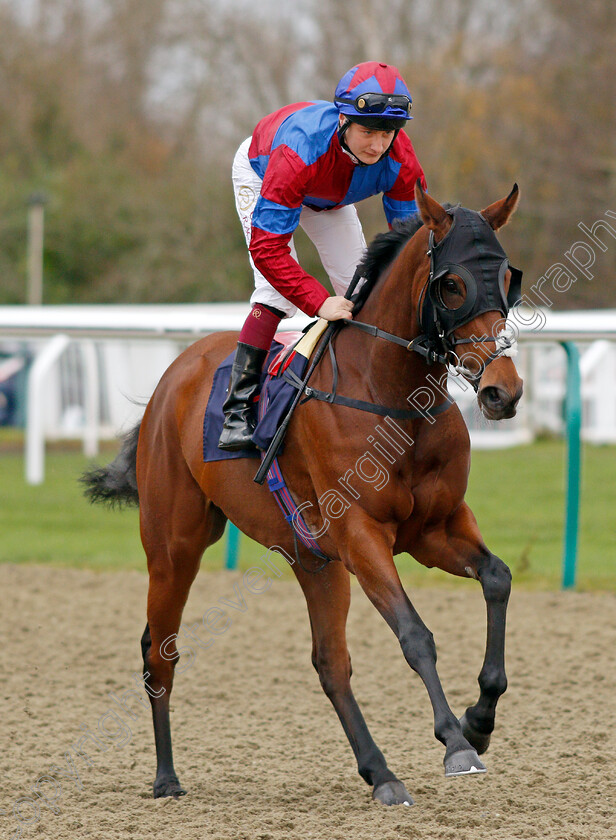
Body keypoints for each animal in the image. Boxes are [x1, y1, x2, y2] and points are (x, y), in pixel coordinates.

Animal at [84, 185, 524, 808]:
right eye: (453, 284)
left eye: (507, 278)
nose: (501, 392)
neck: (392, 396)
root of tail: (171, 377)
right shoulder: (362, 535)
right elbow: (415, 634)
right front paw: (455, 742)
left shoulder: (435, 529)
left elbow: (497, 579)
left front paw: (479, 720)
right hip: (174, 547)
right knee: (158, 651)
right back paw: (166, 777)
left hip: (313, 558)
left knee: (329, 662)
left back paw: (381, 774)